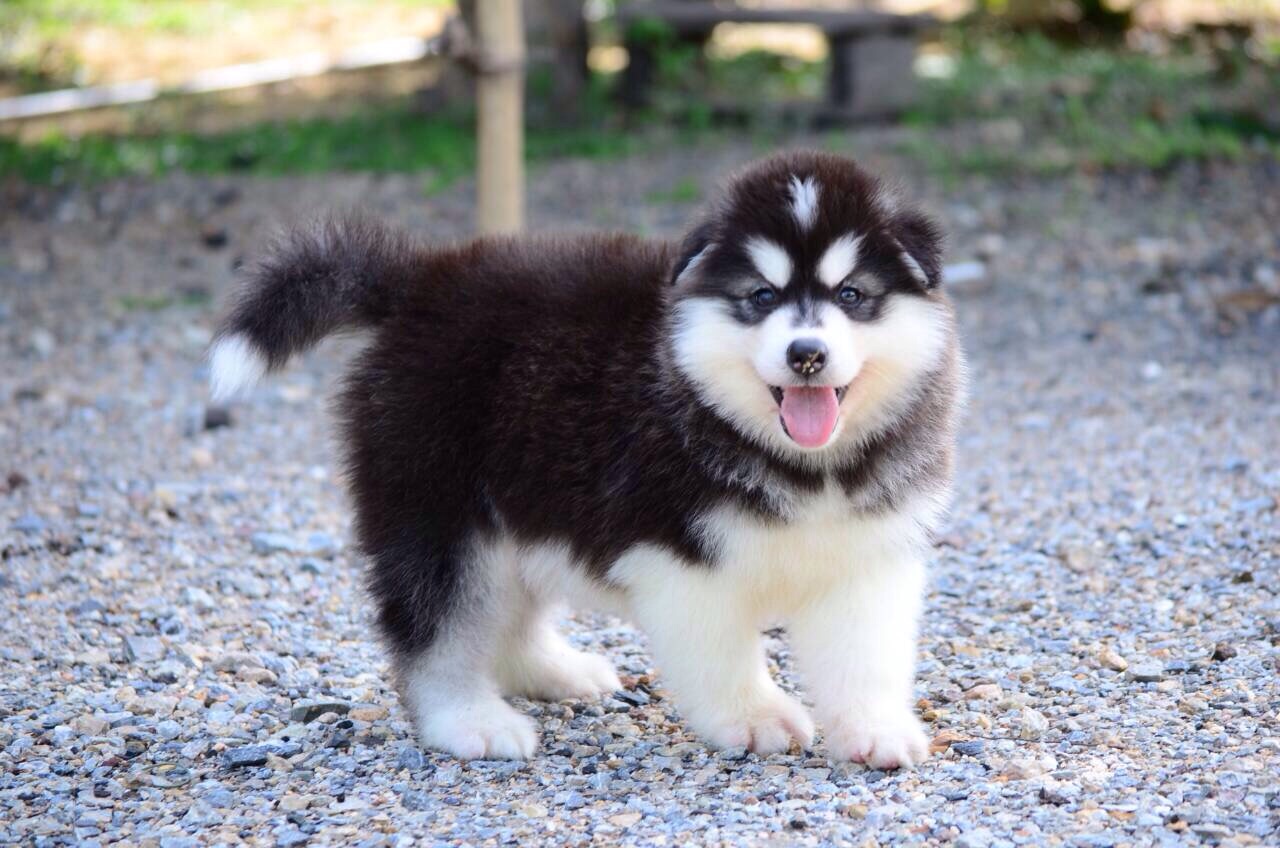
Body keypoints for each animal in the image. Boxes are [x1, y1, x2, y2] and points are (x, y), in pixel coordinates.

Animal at [208, 151, 962, 768]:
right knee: (438, 623)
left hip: (525, 496)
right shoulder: (679, 560)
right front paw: (757, 716)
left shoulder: (869, 556)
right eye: (762, 297)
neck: (803, 461)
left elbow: (866, 656)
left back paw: (554, 672)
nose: (806, 353)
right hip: (440, 507)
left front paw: (874, 729)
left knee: (507, 610)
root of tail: (419, 283)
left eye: (851, 295)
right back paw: (468, 720)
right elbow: (723, 652)